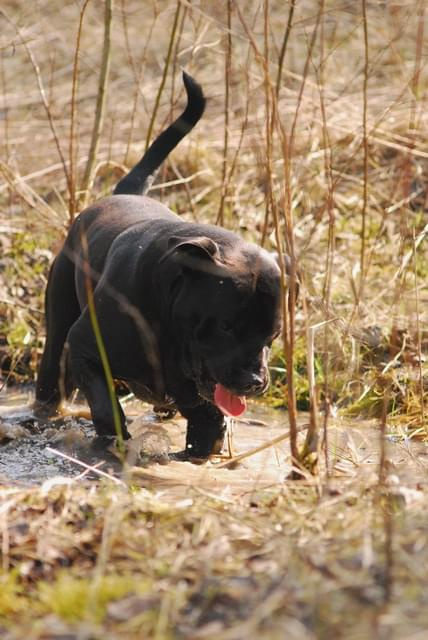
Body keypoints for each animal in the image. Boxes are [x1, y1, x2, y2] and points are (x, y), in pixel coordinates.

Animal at [35, 72, 282, 458]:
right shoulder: (86, 347)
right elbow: (104, 402)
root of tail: (123, 193)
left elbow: (206, 414)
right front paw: (115, 441)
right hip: (59, 322)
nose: (254, 381)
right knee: (51, 370)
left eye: (273, 335)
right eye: (226, 326)